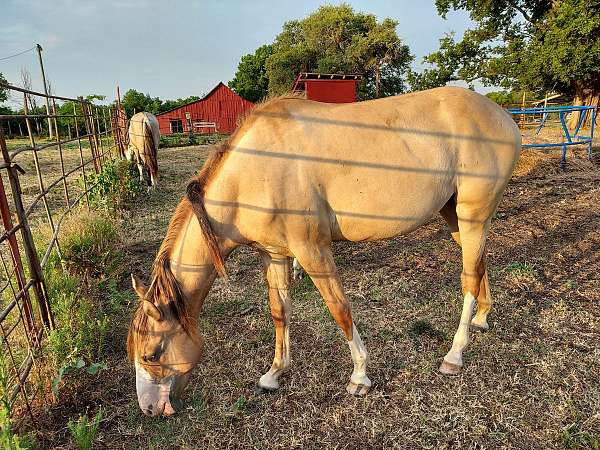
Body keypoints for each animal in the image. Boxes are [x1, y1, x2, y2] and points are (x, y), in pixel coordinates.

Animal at [125, 86, 520, 416]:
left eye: (151, 353)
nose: (149, 409)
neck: (255, 169)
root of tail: (503, 116)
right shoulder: (275, 254)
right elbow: (279, 312)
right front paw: (274, 374)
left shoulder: (312, 250)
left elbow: (339, 309)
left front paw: (359, 377)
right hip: (456, 217)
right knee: (479, 265)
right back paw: (482, 319)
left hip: (471, 215)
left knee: (468, 279)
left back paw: (455, 354)